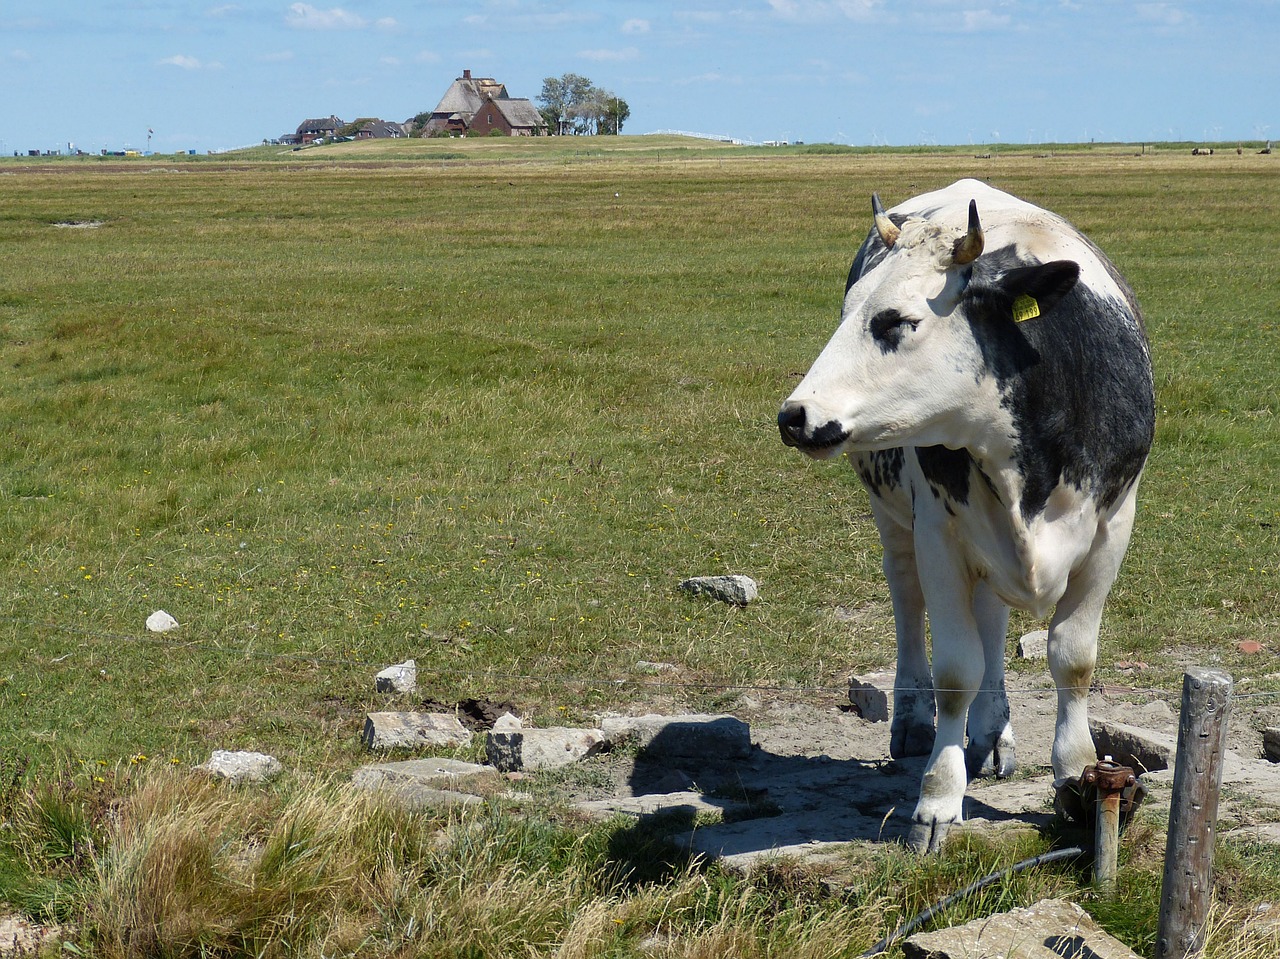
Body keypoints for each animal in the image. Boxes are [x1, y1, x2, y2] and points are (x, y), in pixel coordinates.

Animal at [773, 179, 1157, 855]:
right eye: (848, 313)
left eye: (896, 321)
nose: (795, 416)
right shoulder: (940, 534)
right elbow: (956, 669)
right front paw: (937, 800)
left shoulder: (1112, 528)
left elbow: (1073, 658)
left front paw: (1076, 772)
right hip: (896, 520)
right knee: (907, 599)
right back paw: (913, 721)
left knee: (993, 619)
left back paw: (994, 733)